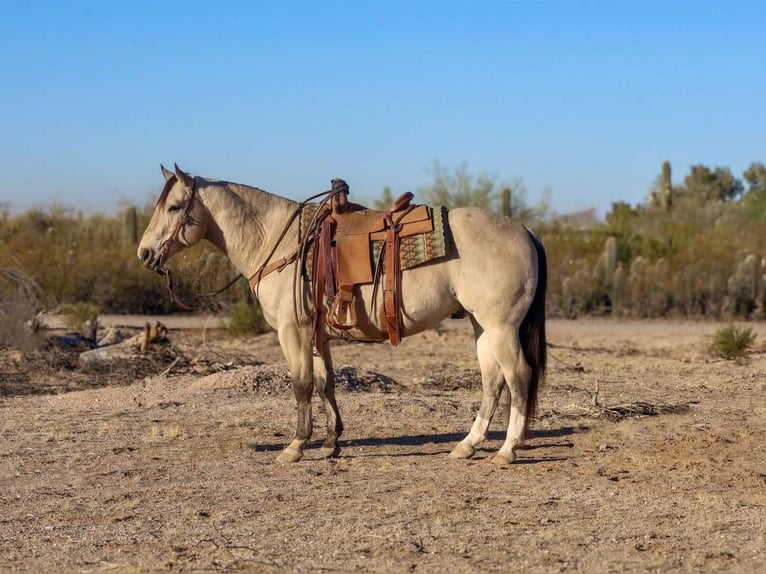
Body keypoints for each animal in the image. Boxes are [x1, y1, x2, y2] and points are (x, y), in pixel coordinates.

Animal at [137, 164, 547, 465]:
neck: (277, 241)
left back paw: (506, 450)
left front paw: (295, 446)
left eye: (174, 207)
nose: (144, 253)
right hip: (482, 327)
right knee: (493, 381)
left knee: (518, 377)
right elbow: (325, 383)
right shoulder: (318, 335)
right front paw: (330, 442)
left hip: (501, 327)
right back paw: (467, 445)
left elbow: (301, 384)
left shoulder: (294, 332)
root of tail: (525, 230)